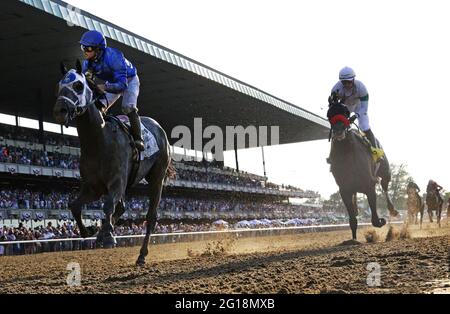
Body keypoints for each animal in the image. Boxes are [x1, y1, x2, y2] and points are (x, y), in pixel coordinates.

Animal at [51, 60, 173, 264]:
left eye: (78, 85)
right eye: (59, 85)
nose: (60, 111)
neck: (99, 139)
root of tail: (158, 128)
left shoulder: (116, 181)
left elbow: (108, 205)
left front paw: (108, 236)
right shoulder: (93, 186)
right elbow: (74, 205)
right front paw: (90, 230)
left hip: (157, 177)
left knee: (151, 216)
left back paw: (141, 255)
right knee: (121, 207)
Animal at [326, 100, 398, 240]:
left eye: (345, 112)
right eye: (329, 114)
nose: (338, 131)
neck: (346, 153)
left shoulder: (369, 185)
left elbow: (375, 220)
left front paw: (383, 220)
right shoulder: (344, 189)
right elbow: (352, 220)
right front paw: (353, 239)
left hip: (385, 172)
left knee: (385, 186)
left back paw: (392, 209)